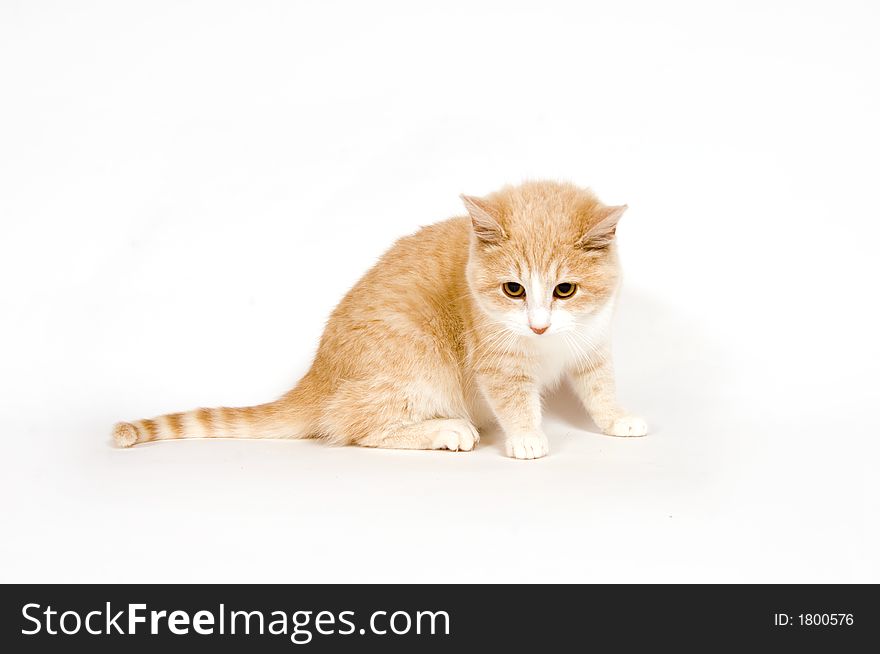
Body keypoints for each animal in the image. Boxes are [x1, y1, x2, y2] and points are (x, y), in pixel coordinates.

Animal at [111, 181, 648, 462]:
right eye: (513, 289)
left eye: (565, 290)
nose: (538, 326)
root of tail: (318, 376)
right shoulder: (495, 361)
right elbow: (514, 397)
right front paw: (526, 436)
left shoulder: (592, 340)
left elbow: (598, 384)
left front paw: (616, 418)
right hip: (413, 360)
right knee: (351, 424)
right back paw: (443, 431)